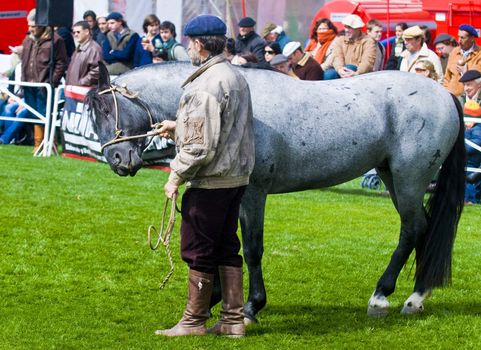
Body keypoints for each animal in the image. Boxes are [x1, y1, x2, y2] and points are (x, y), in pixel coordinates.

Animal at [87, 60, 464, 322]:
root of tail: (445, 94)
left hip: (409, 178)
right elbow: (223, 243)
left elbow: (252, 248)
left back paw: (384, 297)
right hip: (392, 176)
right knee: (422, 228)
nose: (118, 160)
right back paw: (416, 297)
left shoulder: (253, 193)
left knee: (413, 229)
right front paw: (215, 299)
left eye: (105, 108)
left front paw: (251, 307)